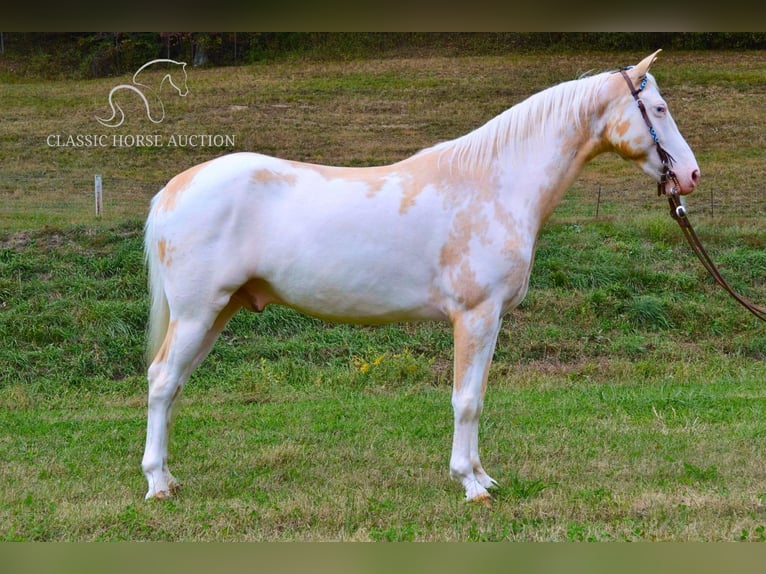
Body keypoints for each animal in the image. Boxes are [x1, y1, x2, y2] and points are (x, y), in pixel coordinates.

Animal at [144, 51, 704, 506]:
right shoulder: (475, 315)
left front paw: (482, 474)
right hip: (197, 313)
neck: (495, 184)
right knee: (162, 380)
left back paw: (169, 478)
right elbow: (466, 400)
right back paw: (156, 483)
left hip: (218, 312)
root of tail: (173, 189)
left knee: (175, 385)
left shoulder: (491, 320)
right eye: (658, 109)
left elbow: (478, 396)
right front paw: (470, 485)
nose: (692, 175)